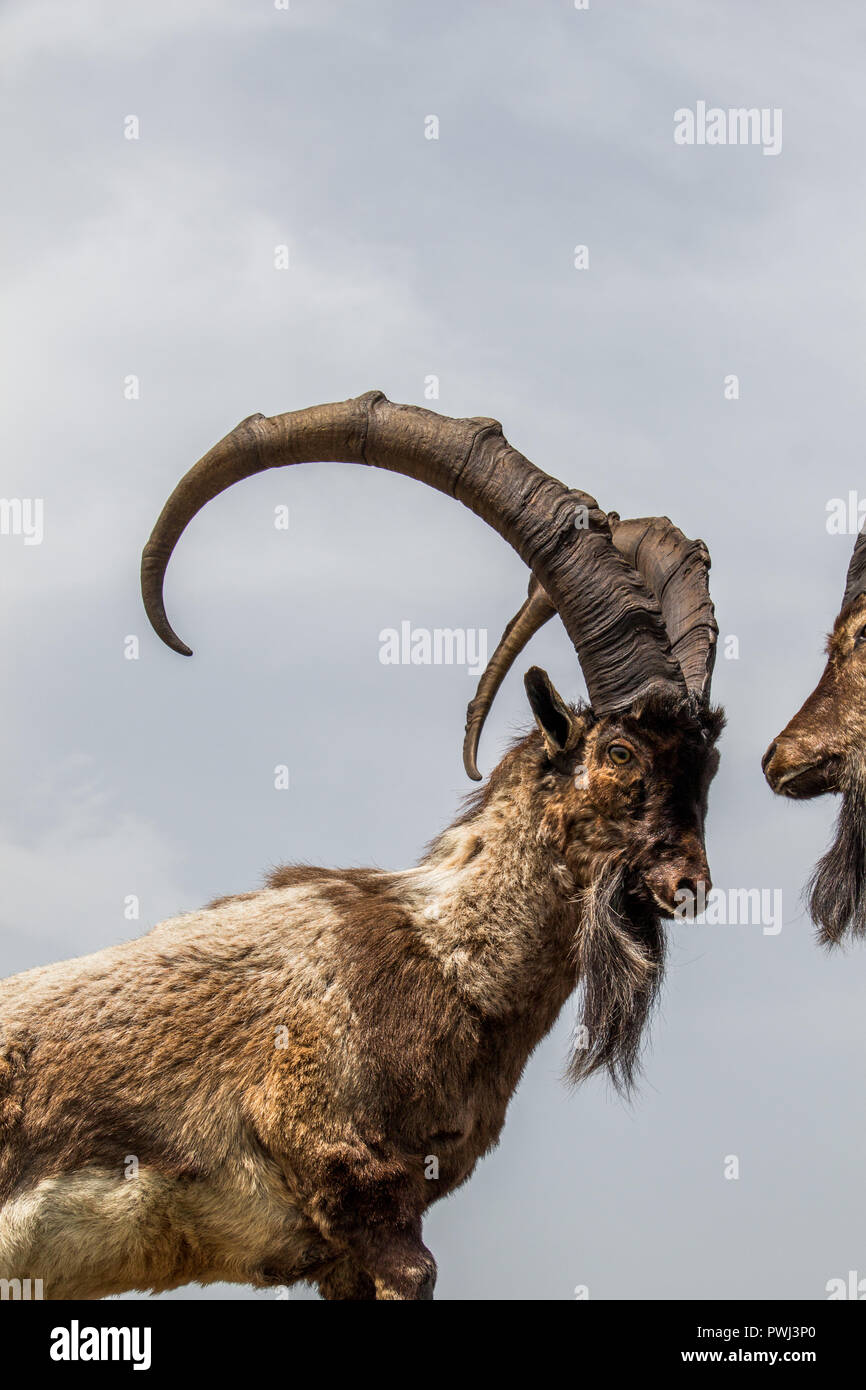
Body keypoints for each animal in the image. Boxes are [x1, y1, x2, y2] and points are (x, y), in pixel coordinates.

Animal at [0, 392, 722, 1300]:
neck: (447, 956)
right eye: (620, 752)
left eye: (709, 764)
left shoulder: (344, 1249)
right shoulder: (368, 1203)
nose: (689, 883)